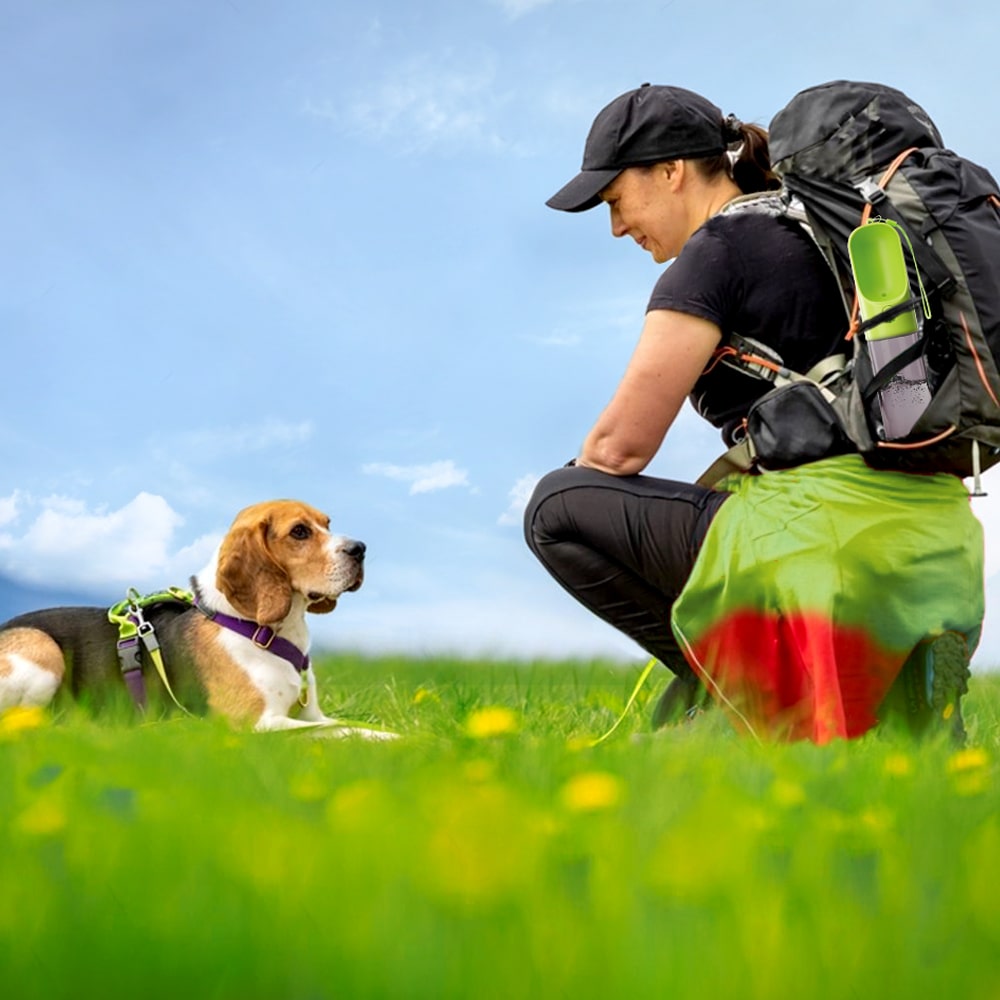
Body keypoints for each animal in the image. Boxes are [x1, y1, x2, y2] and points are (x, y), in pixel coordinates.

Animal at [0, 498, 392, 740]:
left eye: (327, 523)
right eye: (299, 531)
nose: (360, 549)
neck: (258, 629)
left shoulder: (310, 715)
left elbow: (344, 724)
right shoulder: (255, 724)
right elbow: (338, 732)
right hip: (42, 648)